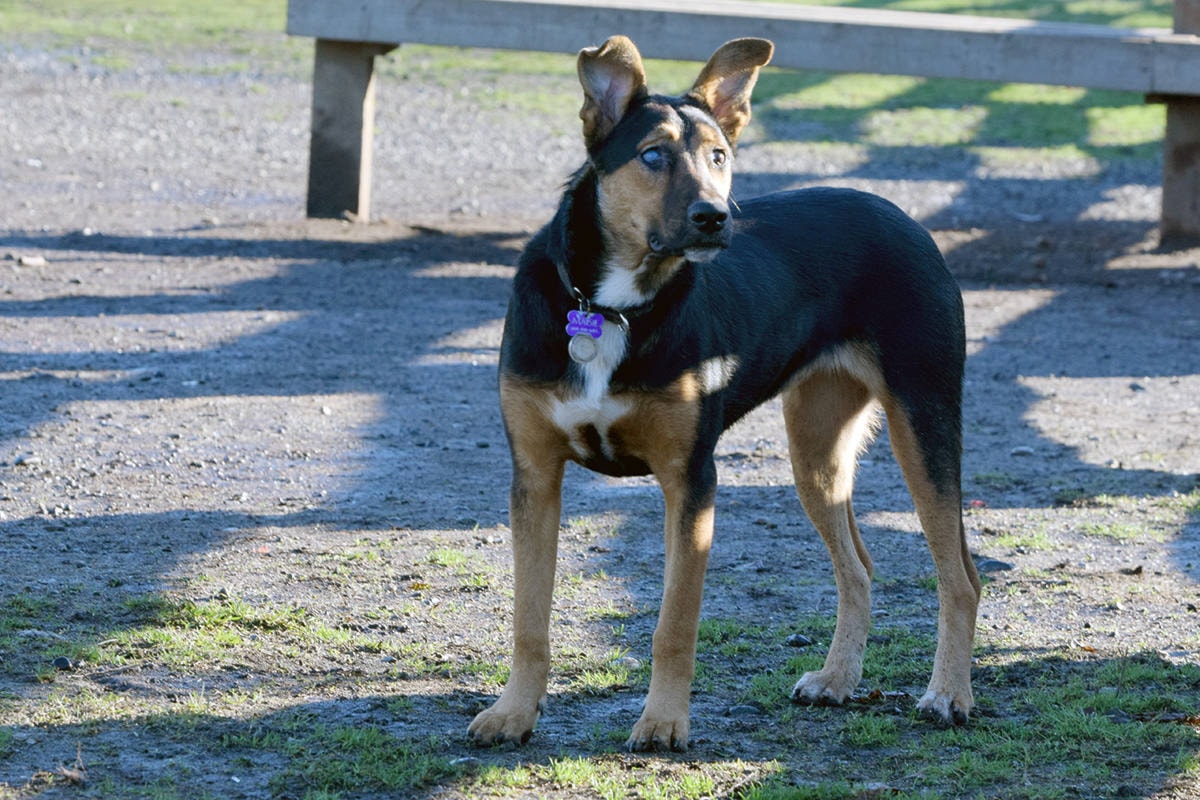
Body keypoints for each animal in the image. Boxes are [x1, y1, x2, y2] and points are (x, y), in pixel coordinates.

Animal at [463, 34, 979, 753]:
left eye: (719, 157)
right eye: (652, 155)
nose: (713, 218)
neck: (613, 305)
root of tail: (895, 212)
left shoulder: (690, 480)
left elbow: (674, 624)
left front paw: (663, 722)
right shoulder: (535, 478)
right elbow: (528, 618)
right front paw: (513, 712)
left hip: (923, 420)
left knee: (960, 577)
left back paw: (949, 694)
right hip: (816, 451)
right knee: (860, 567)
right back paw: (838, 679)